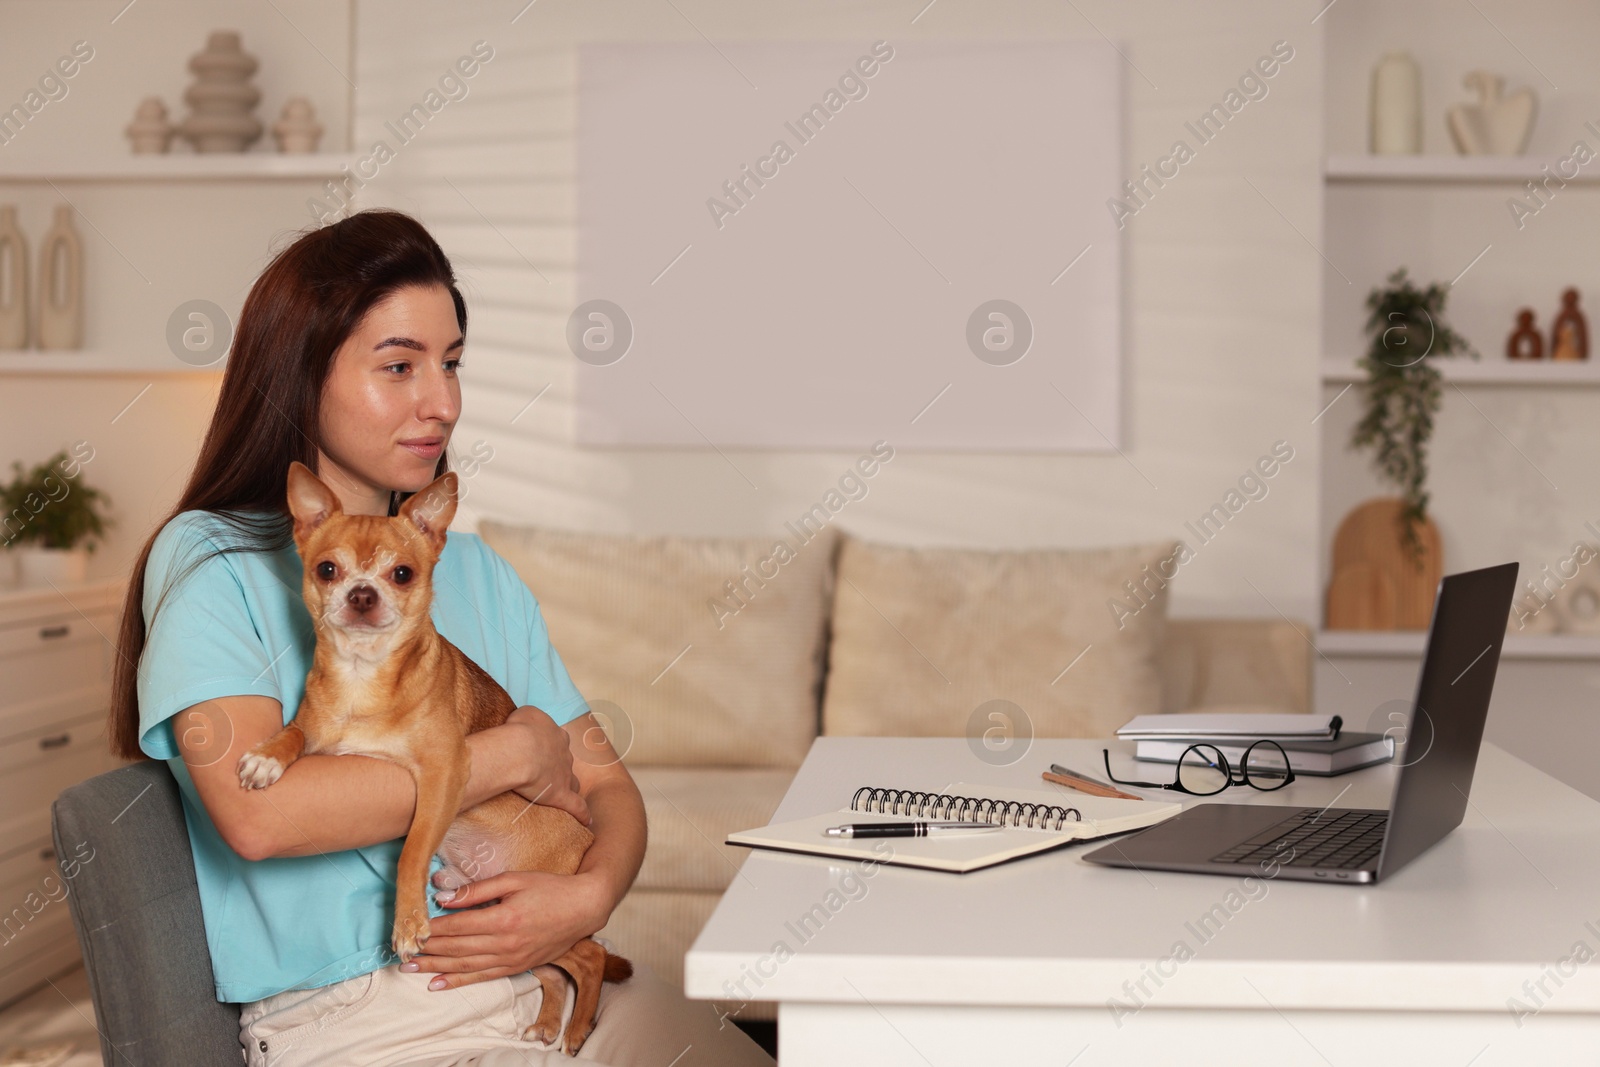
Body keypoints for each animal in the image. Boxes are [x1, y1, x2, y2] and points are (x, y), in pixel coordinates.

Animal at [233, 460, 627, 1049]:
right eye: (327, 569)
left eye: (402, 574)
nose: (362, 593)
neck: (363, 675)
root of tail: (585, 838)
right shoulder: (314, 728)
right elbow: (295, 735)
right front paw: (267, 756)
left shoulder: (444, 771)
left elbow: (413, 850)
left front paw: (407, 923)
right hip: (510, 915)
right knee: (558, 969)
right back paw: (547, 1022)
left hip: (541, 907)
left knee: (592, 957)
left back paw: (577, 1031)